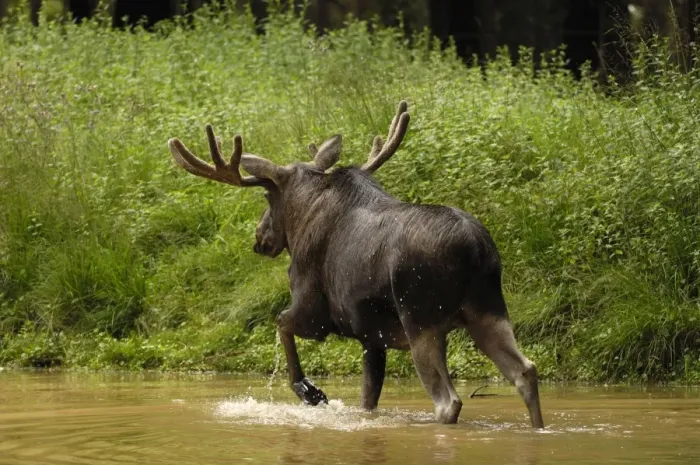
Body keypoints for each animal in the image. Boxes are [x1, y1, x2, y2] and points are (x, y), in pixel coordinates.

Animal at [167, 101, 545, 428]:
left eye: (266, 195)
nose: (260, 239)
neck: (303, 217)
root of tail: (475, 249)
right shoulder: (372, 337)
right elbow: (368, 399)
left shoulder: (313, 311)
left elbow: (280, 323)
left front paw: (310, 391)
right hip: (488, 310)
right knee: (525, 371)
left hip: (421, 318)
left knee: (447, 401)